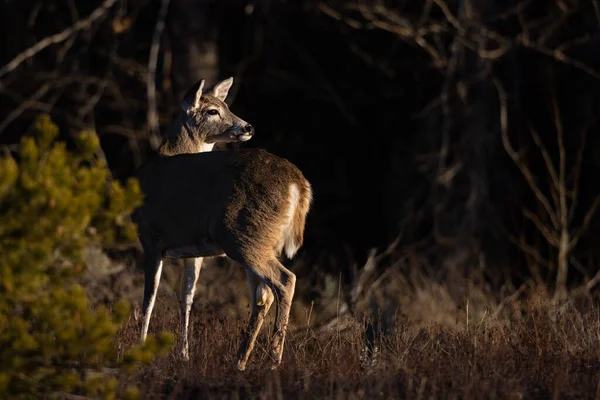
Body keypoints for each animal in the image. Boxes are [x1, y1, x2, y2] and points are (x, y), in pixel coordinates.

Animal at [131, 76, 310, 370]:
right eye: (214, 110)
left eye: (225, 106)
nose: (248, 126)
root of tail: (299, 184)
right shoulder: (194, 250)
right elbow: (186, 297)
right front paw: (184, 355)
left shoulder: (150, 236)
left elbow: (149, 297)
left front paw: (139, 350)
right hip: (261, 238)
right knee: (263, 294)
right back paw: (240, 362)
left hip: (240, 235)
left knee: (285, 280)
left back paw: (272, 362)